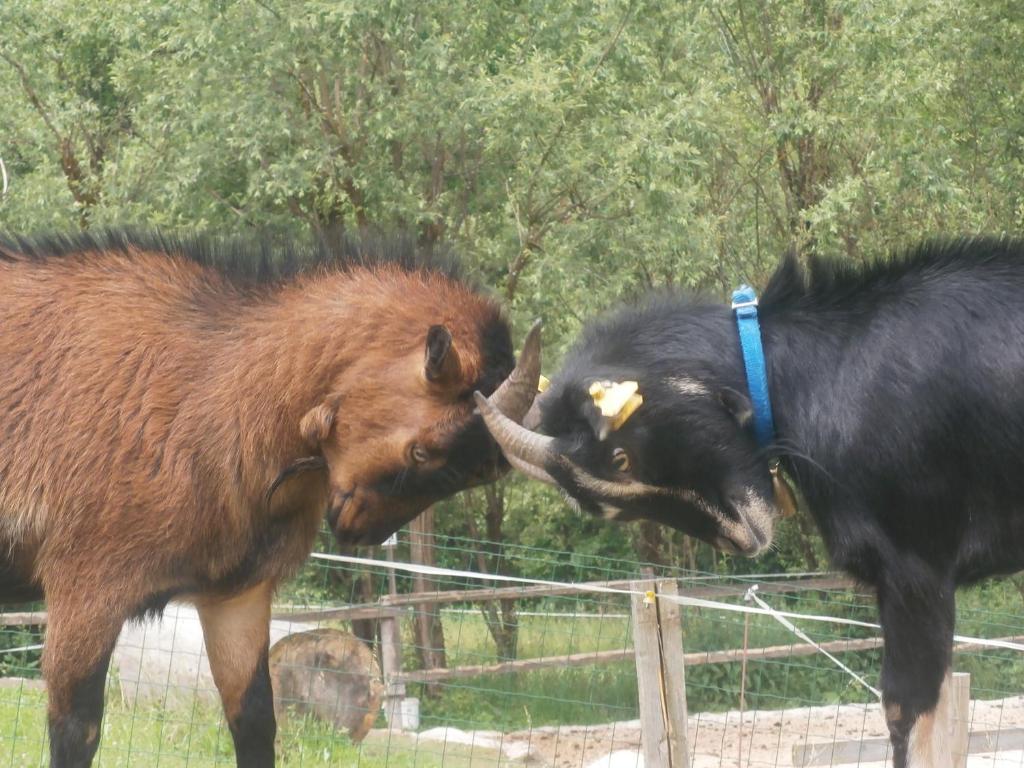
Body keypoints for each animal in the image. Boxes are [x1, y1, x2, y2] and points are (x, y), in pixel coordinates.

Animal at [0, 230, 542, 768]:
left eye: (481, 474)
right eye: (422, 450)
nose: (359, 529)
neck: (217, 389)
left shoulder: (236, 592)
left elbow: (256, 721)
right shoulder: (84, 585)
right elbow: (77, 731)